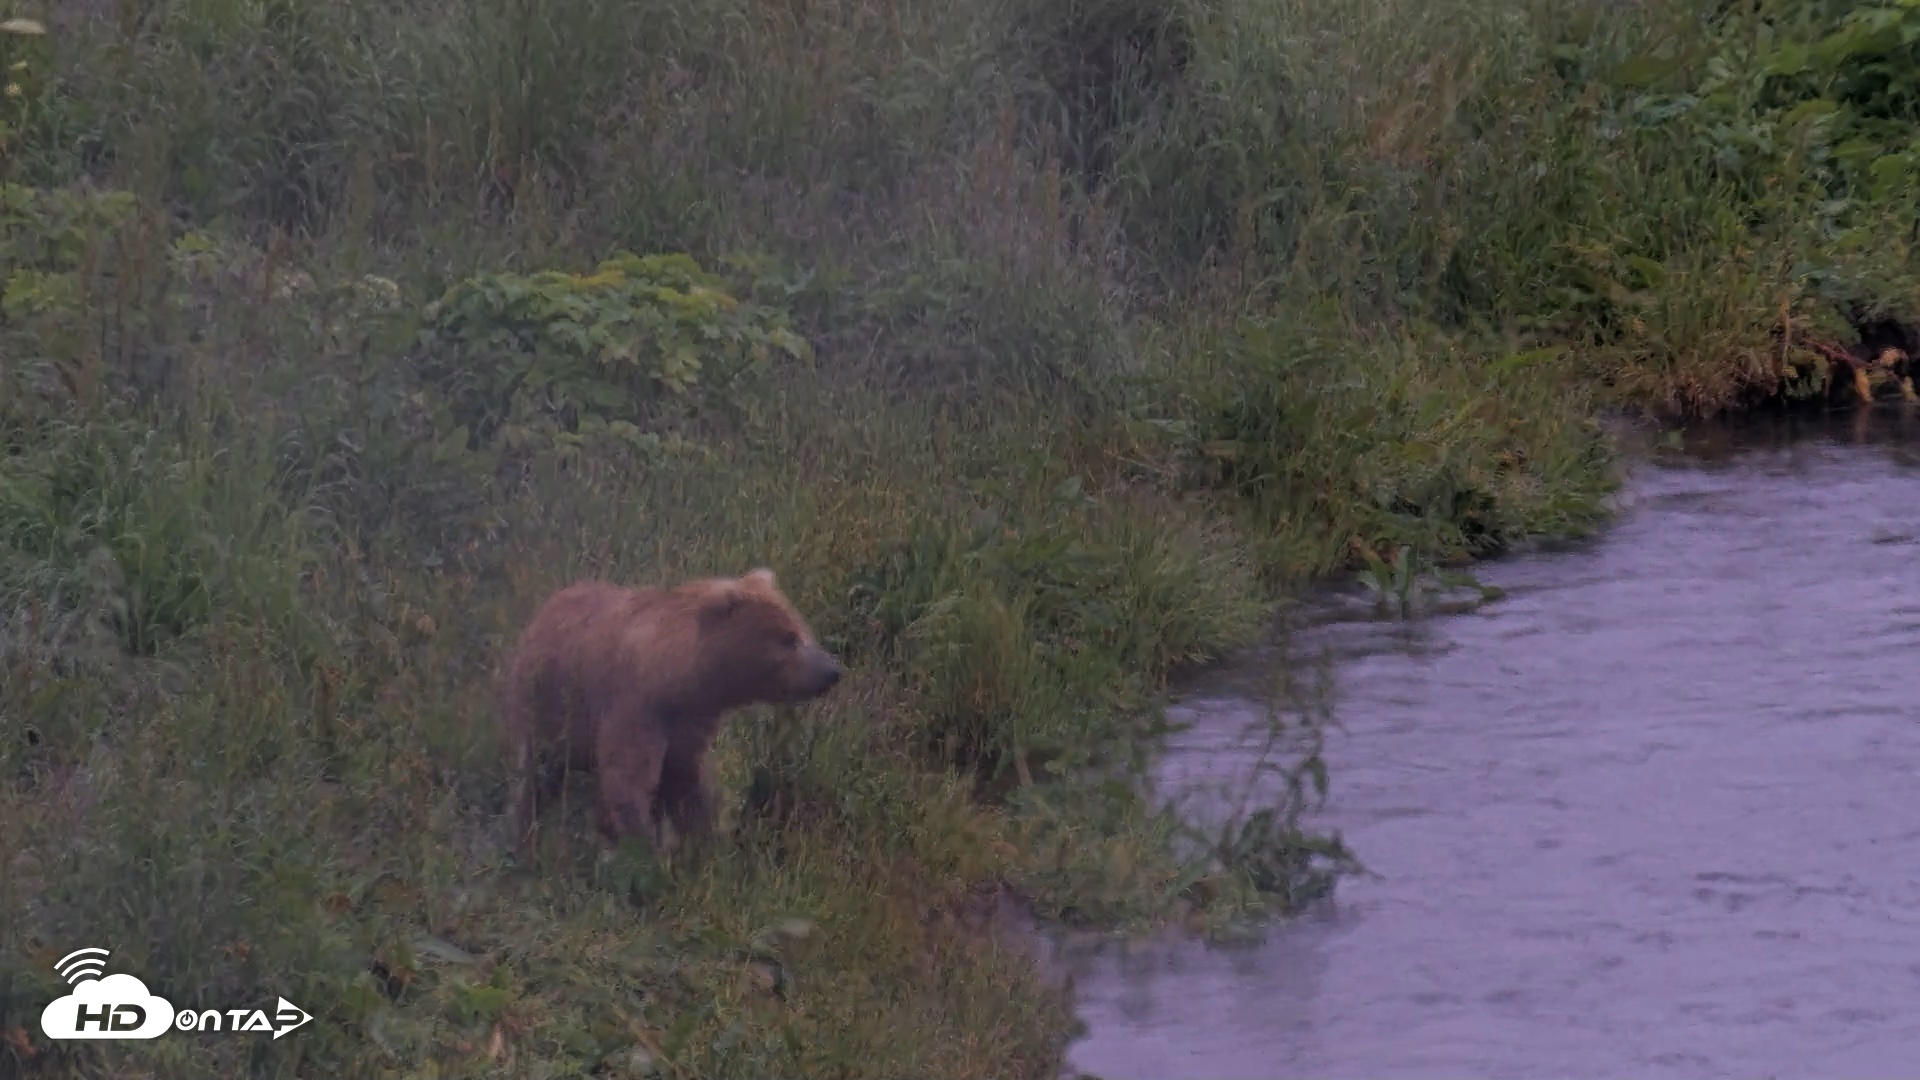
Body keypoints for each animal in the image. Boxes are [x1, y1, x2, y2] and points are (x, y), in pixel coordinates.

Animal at [500, 567, 843, 860]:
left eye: (801, 630)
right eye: (787, 638)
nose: (832, 671)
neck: (681, 678)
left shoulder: (692, 720)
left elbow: (685, 780)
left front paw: (704, 845)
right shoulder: (637, 707)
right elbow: (629, 779)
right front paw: (649, 853)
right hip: (546, 706)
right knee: (535, 775)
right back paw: (523, 842)